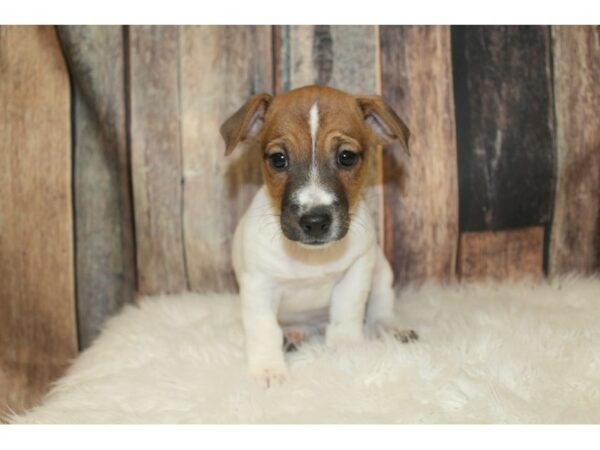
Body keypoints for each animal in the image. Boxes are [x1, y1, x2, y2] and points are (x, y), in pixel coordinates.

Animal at [220, 85, 418, 386]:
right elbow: (264, 330)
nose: (314, 222)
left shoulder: (355, 273)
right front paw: (268, 370)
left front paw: (347, 352)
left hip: (382, 270)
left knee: (380, 309)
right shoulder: (258, 286)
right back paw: (293, 334)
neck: (311, 257)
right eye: (278, 159)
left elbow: (346, 315)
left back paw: (392, 328)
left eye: (346, 157)